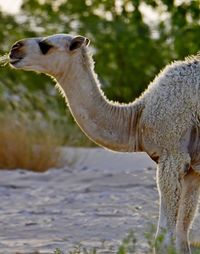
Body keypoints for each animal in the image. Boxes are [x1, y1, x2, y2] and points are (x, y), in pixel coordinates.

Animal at [9, 34, 200, 254]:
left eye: (46, 45)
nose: (14, 48)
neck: (137, 118)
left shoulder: (172, 155)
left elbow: (164, 238)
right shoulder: (192, 170)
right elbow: (182, 236)